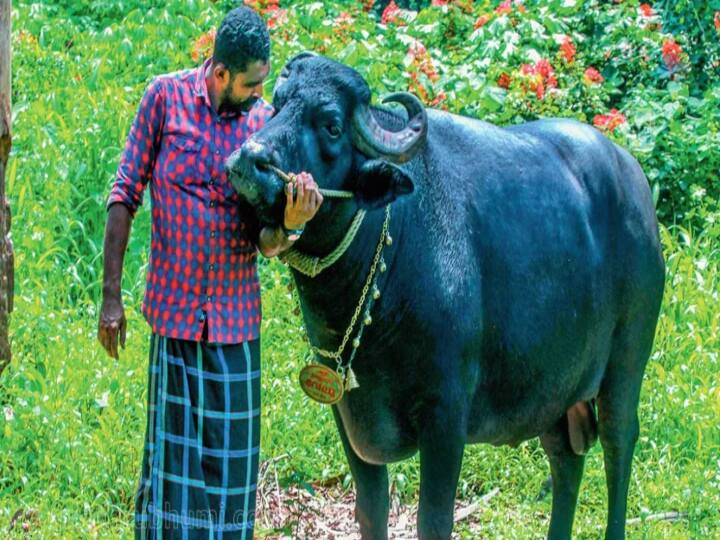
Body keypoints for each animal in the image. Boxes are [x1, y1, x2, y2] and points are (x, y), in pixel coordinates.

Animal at [226, 53, 665, 539]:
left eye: (332, 126)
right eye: (278, 104)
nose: (249, 161)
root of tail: (639, 191)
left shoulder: (446, 416)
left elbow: (433, 520)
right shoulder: (345, 409)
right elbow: (371, 507)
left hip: (625, 366)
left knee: (618, 444)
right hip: (555, 392)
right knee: (565, 459)